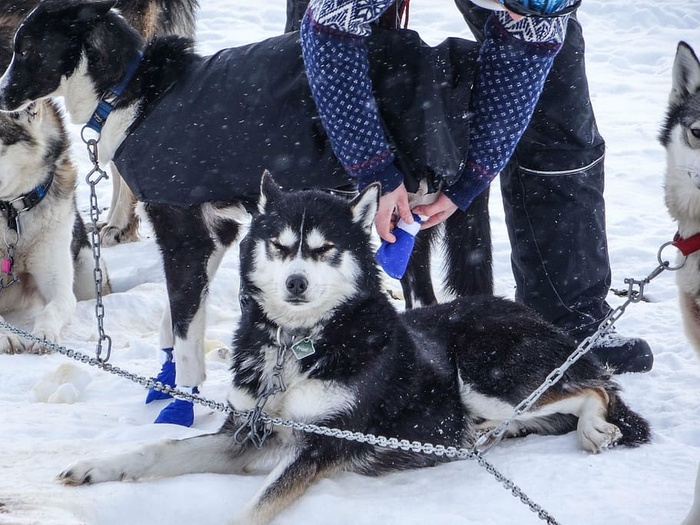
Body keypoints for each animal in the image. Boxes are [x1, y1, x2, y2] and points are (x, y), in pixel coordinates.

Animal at [56, 172, 652, 524]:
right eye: (280, 246)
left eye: (324, 250)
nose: (296, 282)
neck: (298, 346)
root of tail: (530, 314)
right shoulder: (245, 434)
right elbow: (157, 451)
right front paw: (96, 467)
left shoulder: (323, 445)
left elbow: (257, 504)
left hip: (485, 376)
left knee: (595, 389)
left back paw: (594, 429)